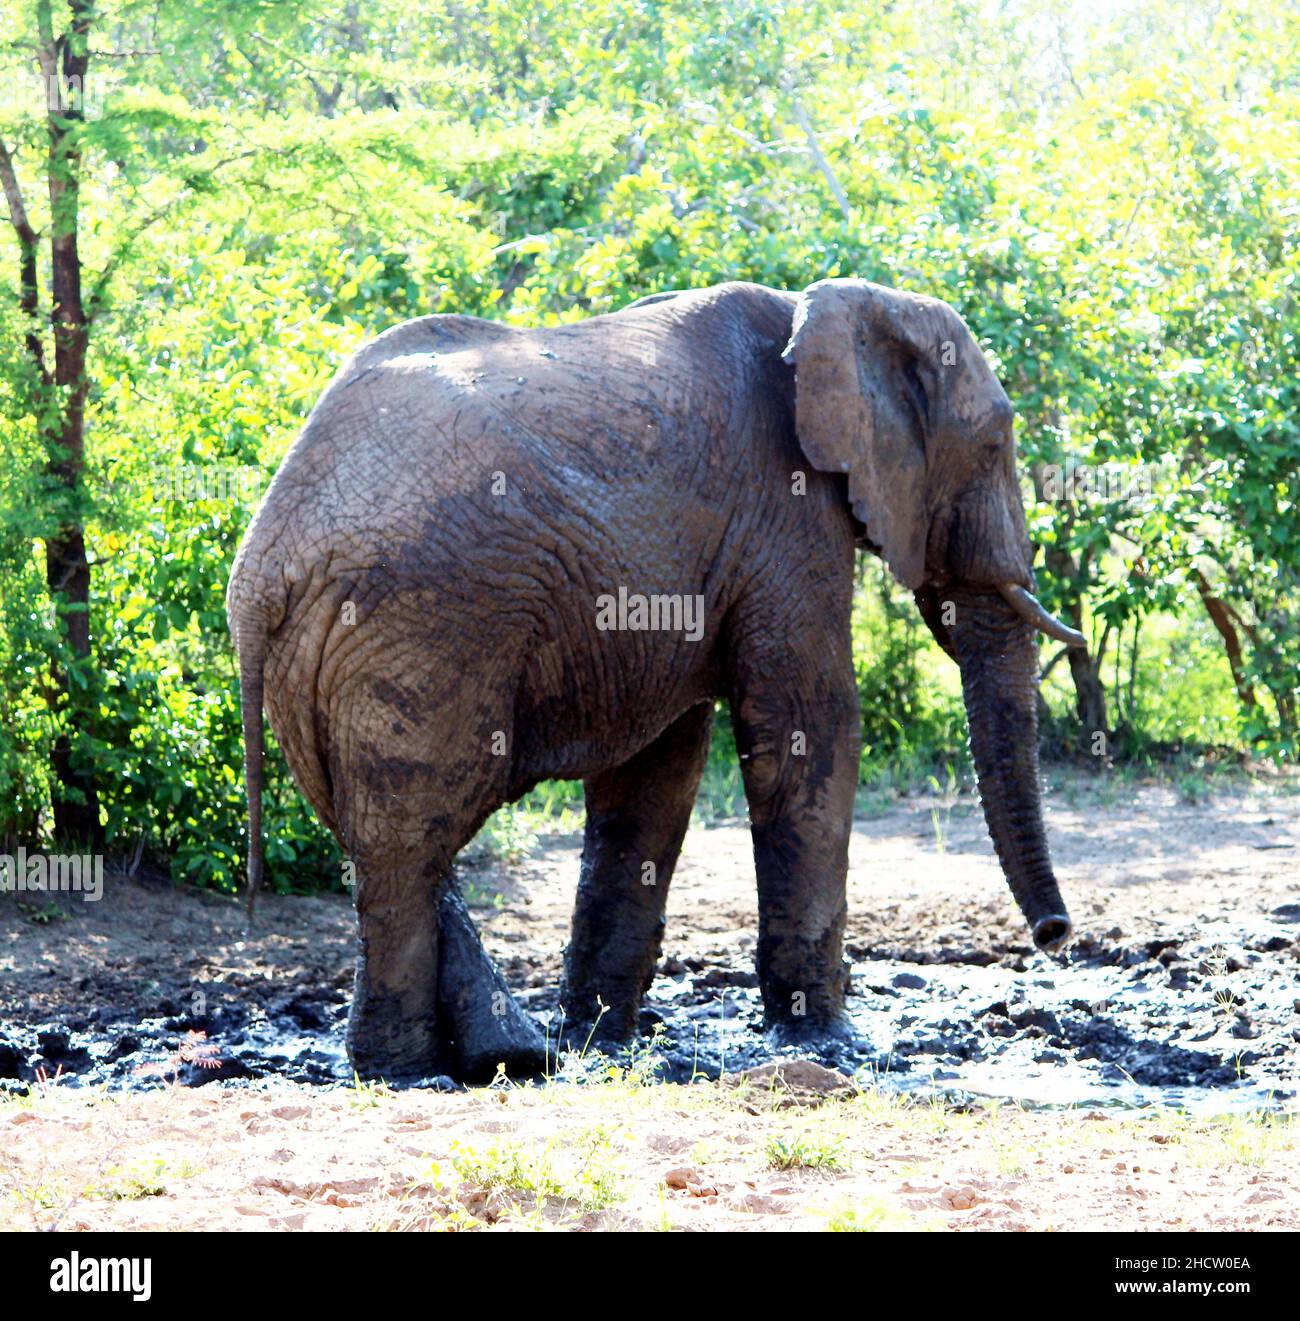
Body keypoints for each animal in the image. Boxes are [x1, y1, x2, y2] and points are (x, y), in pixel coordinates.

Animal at [228, 278, 1083, 1083]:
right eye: (995, 444)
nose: (1056, 935)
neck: (839, 304)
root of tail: (262, 569)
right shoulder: (786, 509)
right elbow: (808, 728)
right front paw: (835, 1044)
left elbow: (657, 771)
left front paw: (605, 1041)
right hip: (421, 623)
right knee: (409, 840)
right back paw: (411, 1072)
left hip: (333, 657)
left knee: (389, 835)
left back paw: (508, 1056)